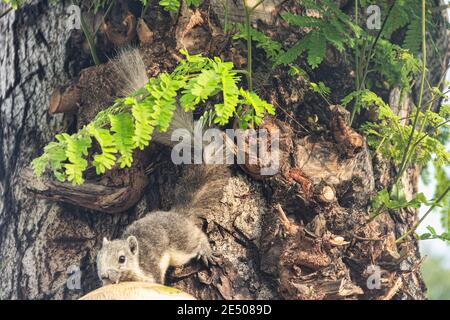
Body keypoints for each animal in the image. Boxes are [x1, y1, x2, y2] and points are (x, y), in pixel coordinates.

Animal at [94, 48, 229, 284]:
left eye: (122, 259)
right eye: (98, 259)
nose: (105, 276)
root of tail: (179, 214)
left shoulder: (152, 275)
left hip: (183, 246)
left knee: (198, 238)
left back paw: (205, 250)